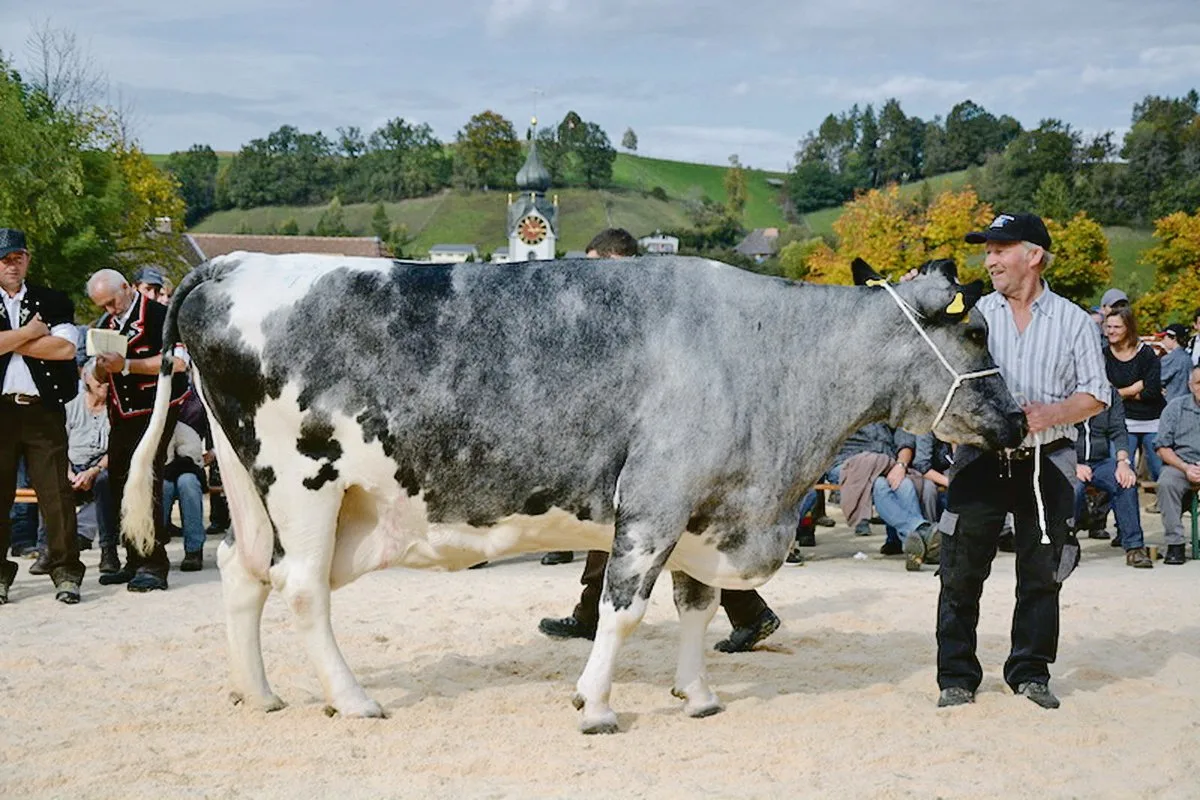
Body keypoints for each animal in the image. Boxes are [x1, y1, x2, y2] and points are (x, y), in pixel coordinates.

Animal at [122, 253, 1025, 733]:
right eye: (978, 328)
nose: (1020, 420)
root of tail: (228, 264)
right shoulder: (656, 498)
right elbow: (625, 608)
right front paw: (594, 703)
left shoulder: (704, 508)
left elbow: (695, 606)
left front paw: (697, 695)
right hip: (306, 481)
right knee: (303, 589)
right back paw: (353, 699)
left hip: (249, 485)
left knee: (243, 574)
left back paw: (259, 692)